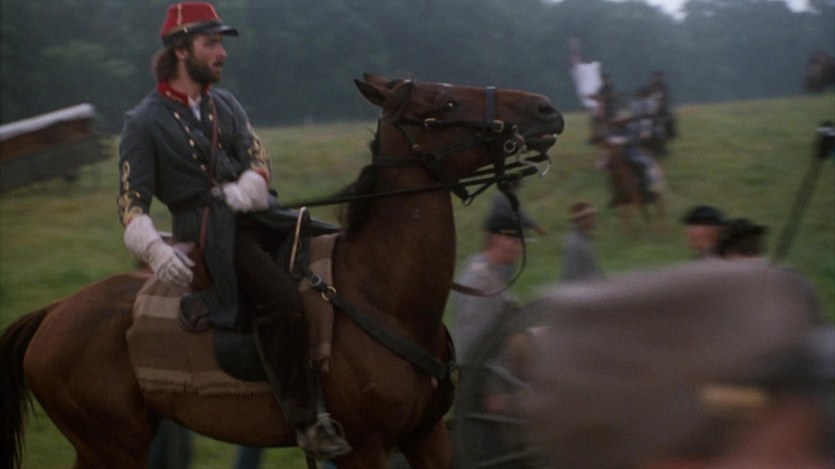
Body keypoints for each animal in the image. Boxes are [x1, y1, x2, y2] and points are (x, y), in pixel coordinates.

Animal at [0, 74, 564, 469]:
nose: (546, 108)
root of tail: (53, 314)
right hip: (115, 447)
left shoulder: (427, 438)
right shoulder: (365, 450)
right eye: (445, 104)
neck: (383, 295)